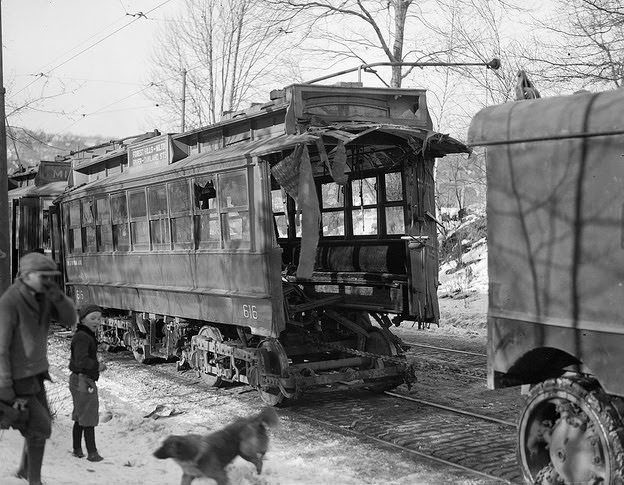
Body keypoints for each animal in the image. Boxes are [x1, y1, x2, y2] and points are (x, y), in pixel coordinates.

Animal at [152, 406, 280, 482]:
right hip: (243, 451)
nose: (153, 454)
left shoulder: (220, 476)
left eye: (165, 446)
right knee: (260, 456)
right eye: (162, 444)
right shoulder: (188, 476)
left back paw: (258, 474)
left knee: (259, 460)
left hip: (244, 450)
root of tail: (251, 419)